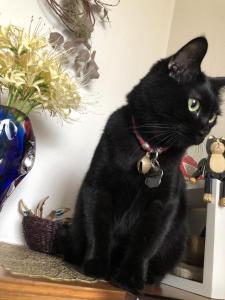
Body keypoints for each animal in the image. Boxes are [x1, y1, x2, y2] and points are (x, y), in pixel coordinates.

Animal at [57, 37, 225, 292]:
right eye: (193, 104)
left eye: (214, 116)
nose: (205, 130)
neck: (149, 148)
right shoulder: (98, 188)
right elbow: (99, 228)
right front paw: (97, 266)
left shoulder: (163, 204)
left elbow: (145, 243)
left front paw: (130, 278)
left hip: (178, 239)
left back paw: (150, 277)